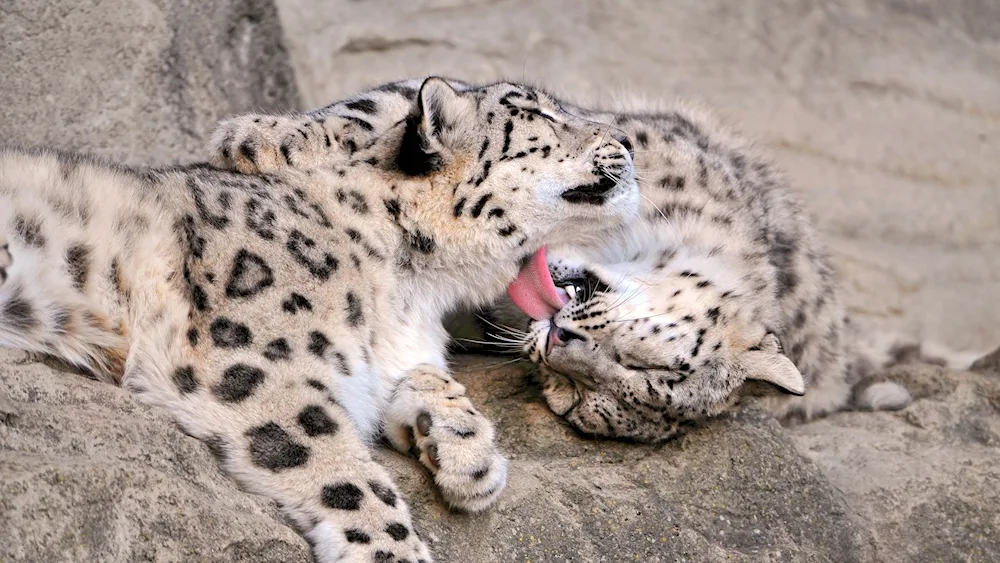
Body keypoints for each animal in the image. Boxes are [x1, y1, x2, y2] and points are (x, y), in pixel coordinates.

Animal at [0, 77, 640, 560]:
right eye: (540, 114)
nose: (628, 142)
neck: (414, 291)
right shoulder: (249, 360)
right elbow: (341, 468)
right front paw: (393, 551)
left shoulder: (393, 356)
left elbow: (427, 377)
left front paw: (469, 455)